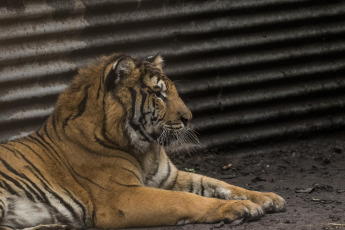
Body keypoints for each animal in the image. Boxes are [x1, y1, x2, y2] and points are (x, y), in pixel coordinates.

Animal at [0, 53, 284, 228]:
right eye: (158, 94)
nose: (189, 117)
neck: (145, 148)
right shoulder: (122, 196)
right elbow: (186, 200)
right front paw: (240, 208)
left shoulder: (170, 178)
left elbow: (219, 183)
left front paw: (267, 198)